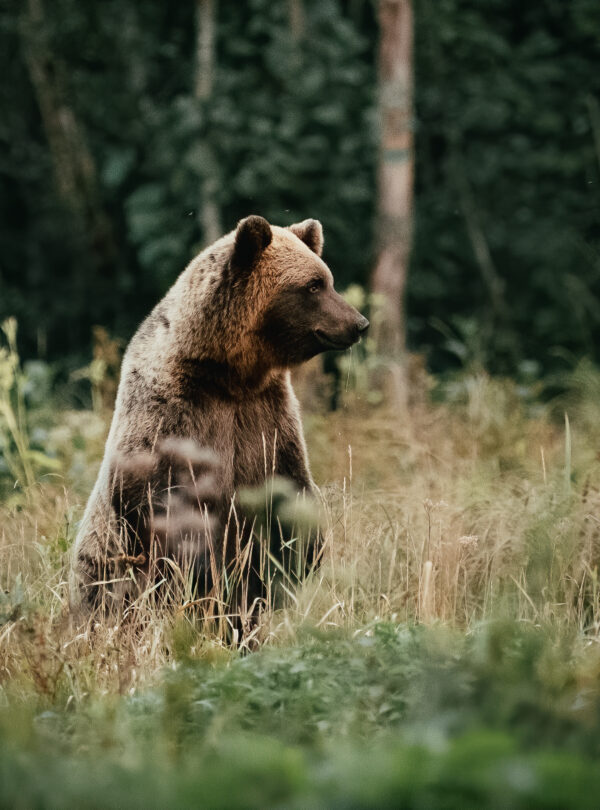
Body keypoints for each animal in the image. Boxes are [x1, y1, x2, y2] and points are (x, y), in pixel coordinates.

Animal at [73, 215, 369, 612]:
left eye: (327, 279)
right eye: (313, 286)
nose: (359, 323)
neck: (230, 374)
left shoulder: (267, 413)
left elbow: (289, 485)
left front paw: (301, 555)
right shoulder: (172, 411)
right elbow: (155, 497)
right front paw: (204, 569)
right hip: (103, 572)